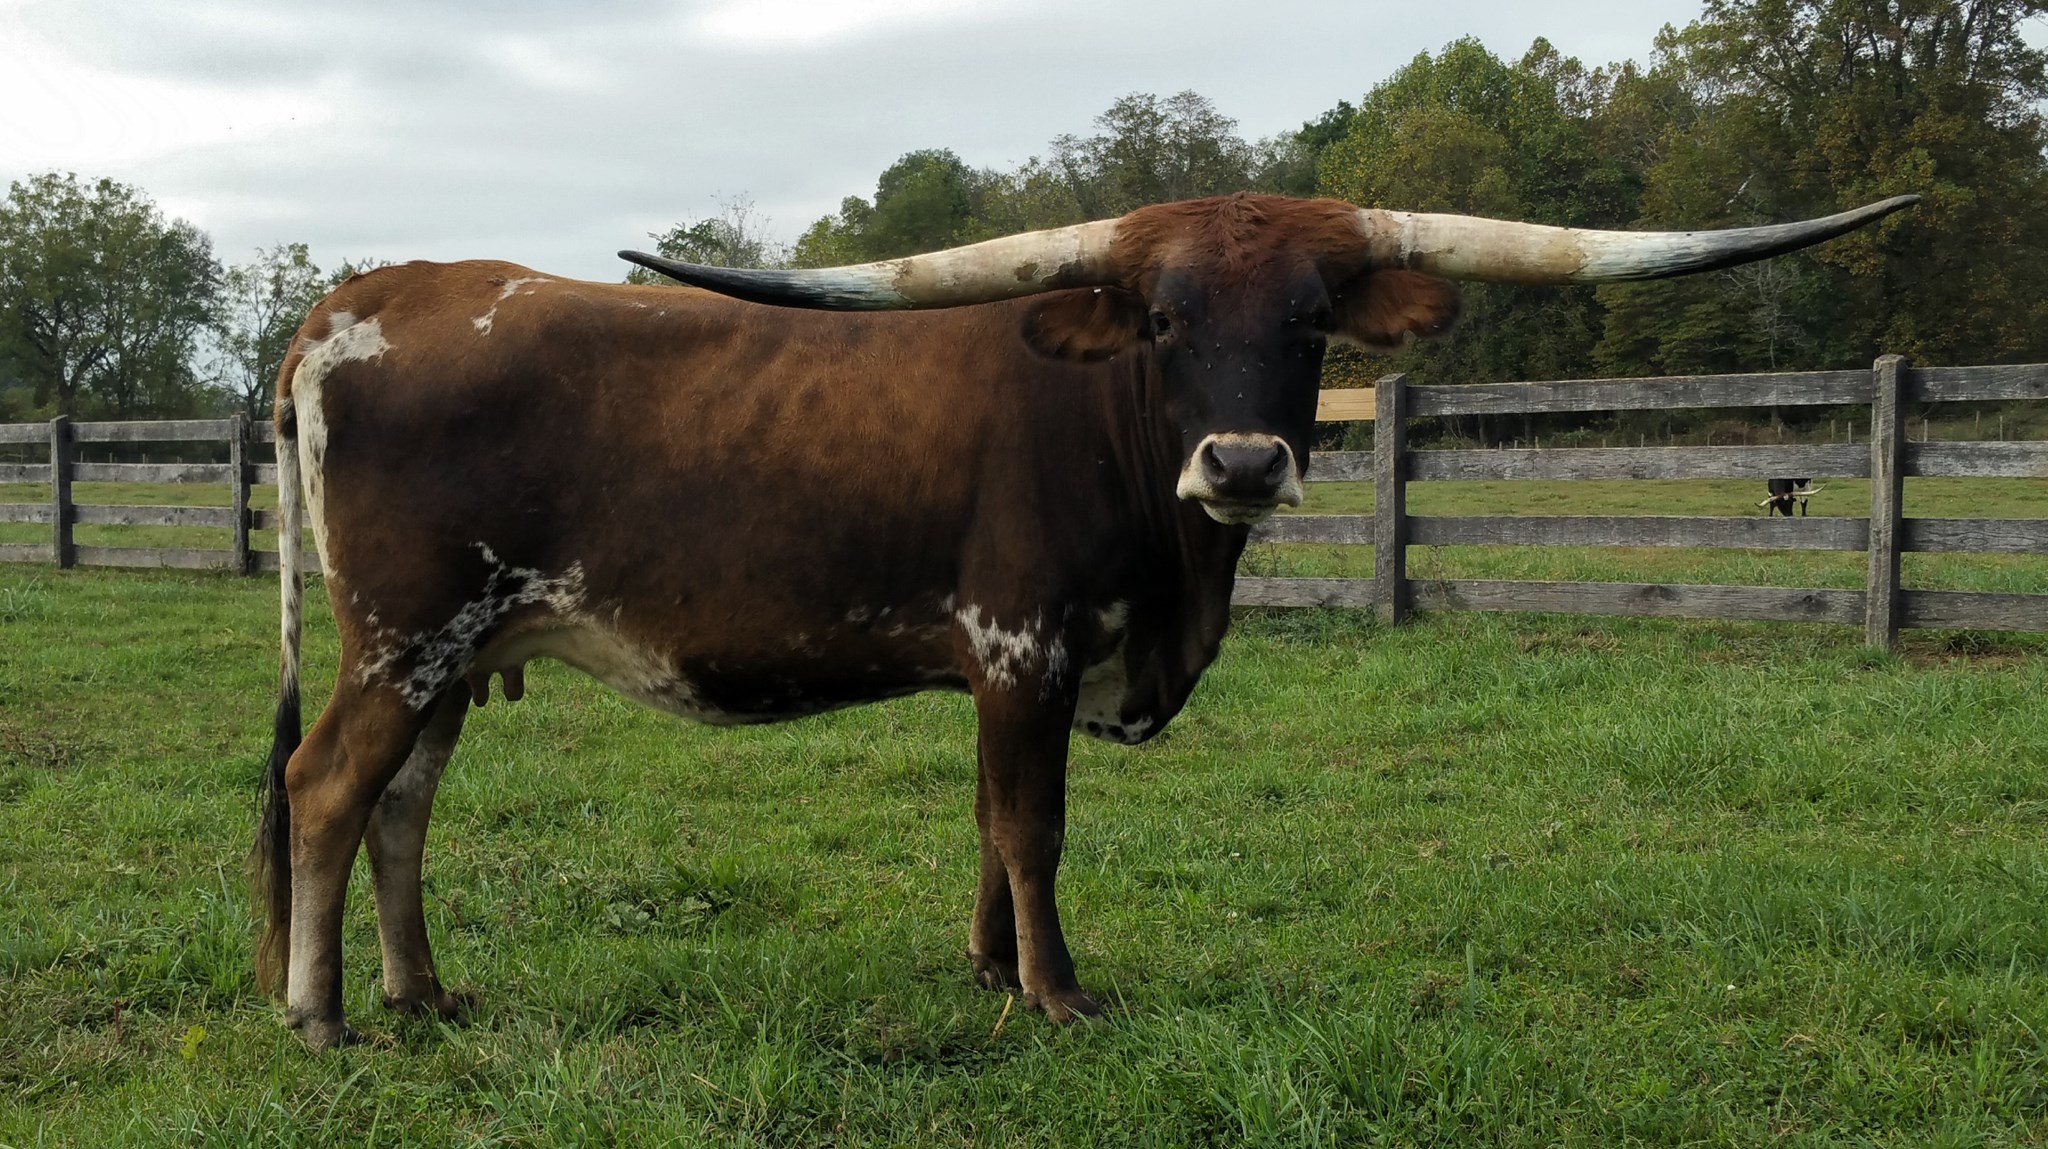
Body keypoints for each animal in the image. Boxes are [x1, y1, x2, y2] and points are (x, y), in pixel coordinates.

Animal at [252, 191, 1916, 1048]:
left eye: (1310, 318)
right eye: (1165, 319)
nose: (1242, 463)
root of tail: (358, 298)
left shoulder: (1016, 665)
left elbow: (991, 829)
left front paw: (994, 972)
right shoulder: (1023, 642)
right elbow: (1032, 825)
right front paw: (1054, 990)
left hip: (459, 652)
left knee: (403, 805)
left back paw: (421, 991)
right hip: (403, 635)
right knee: (327, 787)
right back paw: (321, 1014)